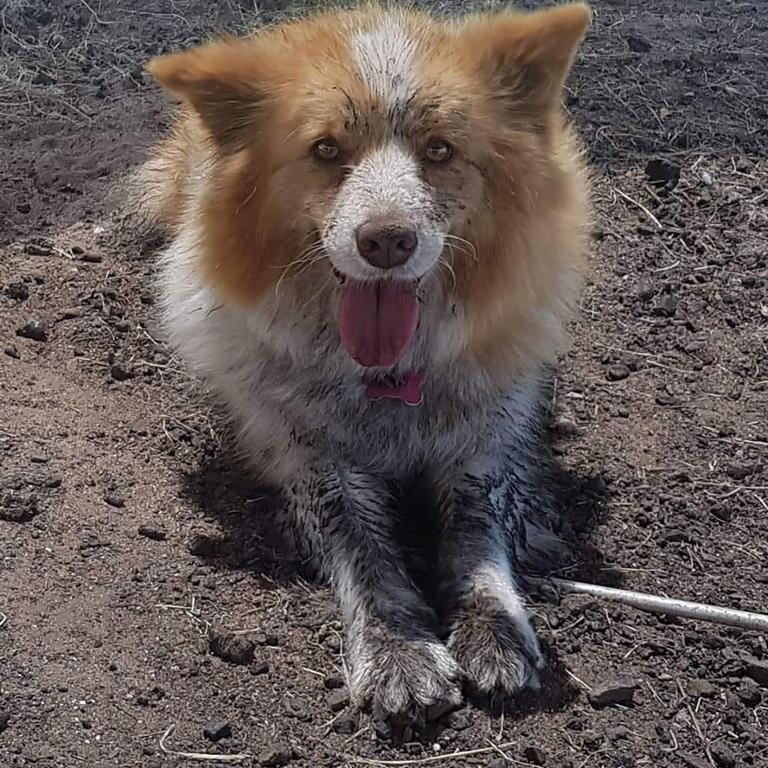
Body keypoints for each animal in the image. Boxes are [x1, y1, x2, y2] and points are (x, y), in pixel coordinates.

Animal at [140, 3, 592, 728]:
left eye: (440, 150)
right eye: (326, 150)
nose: (385, 242)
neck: (389, 381)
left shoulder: (485, 440)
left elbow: (477, 534)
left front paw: (493, 629)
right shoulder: (311, 455)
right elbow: (363, 552)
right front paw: (397, 652)